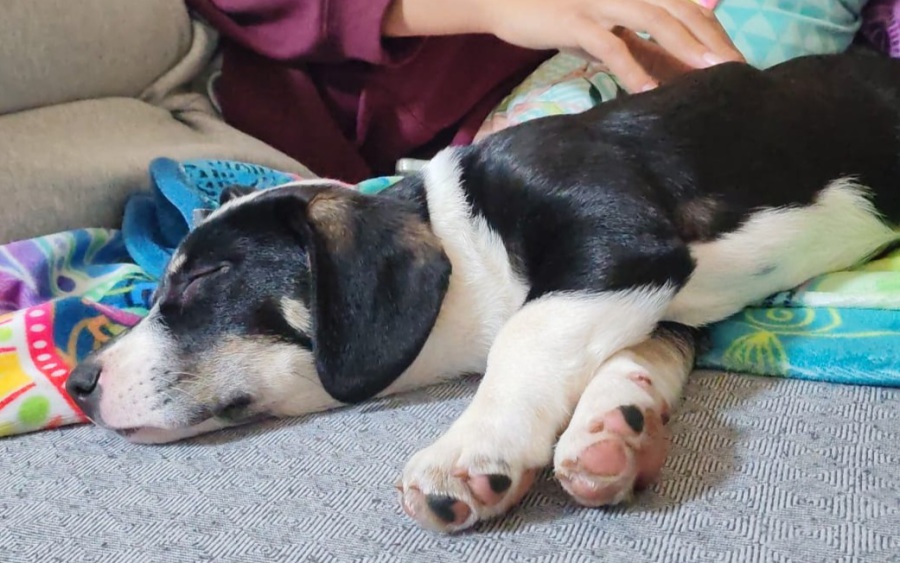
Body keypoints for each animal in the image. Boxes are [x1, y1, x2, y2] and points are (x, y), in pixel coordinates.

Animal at [67, 51, 900, 533]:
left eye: (206, 276)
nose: (78, 381)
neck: (462, 243)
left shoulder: (622, 235)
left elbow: (527, 334)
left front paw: (471, 448)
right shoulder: (655, 292)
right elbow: (638, 352)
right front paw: (613, 429)